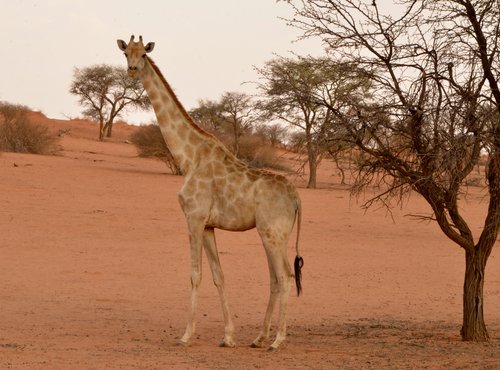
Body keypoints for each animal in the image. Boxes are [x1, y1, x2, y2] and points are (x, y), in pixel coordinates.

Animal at [118, 36, 304, 352]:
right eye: (124, 53)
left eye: (143, 54)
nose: (131, 70)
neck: (188, 158)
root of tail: (296, 199)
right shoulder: (207, 225)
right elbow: (219, 275)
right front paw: (228, 336)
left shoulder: (193, 217)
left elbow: (196, 274)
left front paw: (185, 335)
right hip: (271, 233)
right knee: (274, 278)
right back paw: (259, 338)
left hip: (273, 232)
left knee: (286, 276)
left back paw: (277, 340)